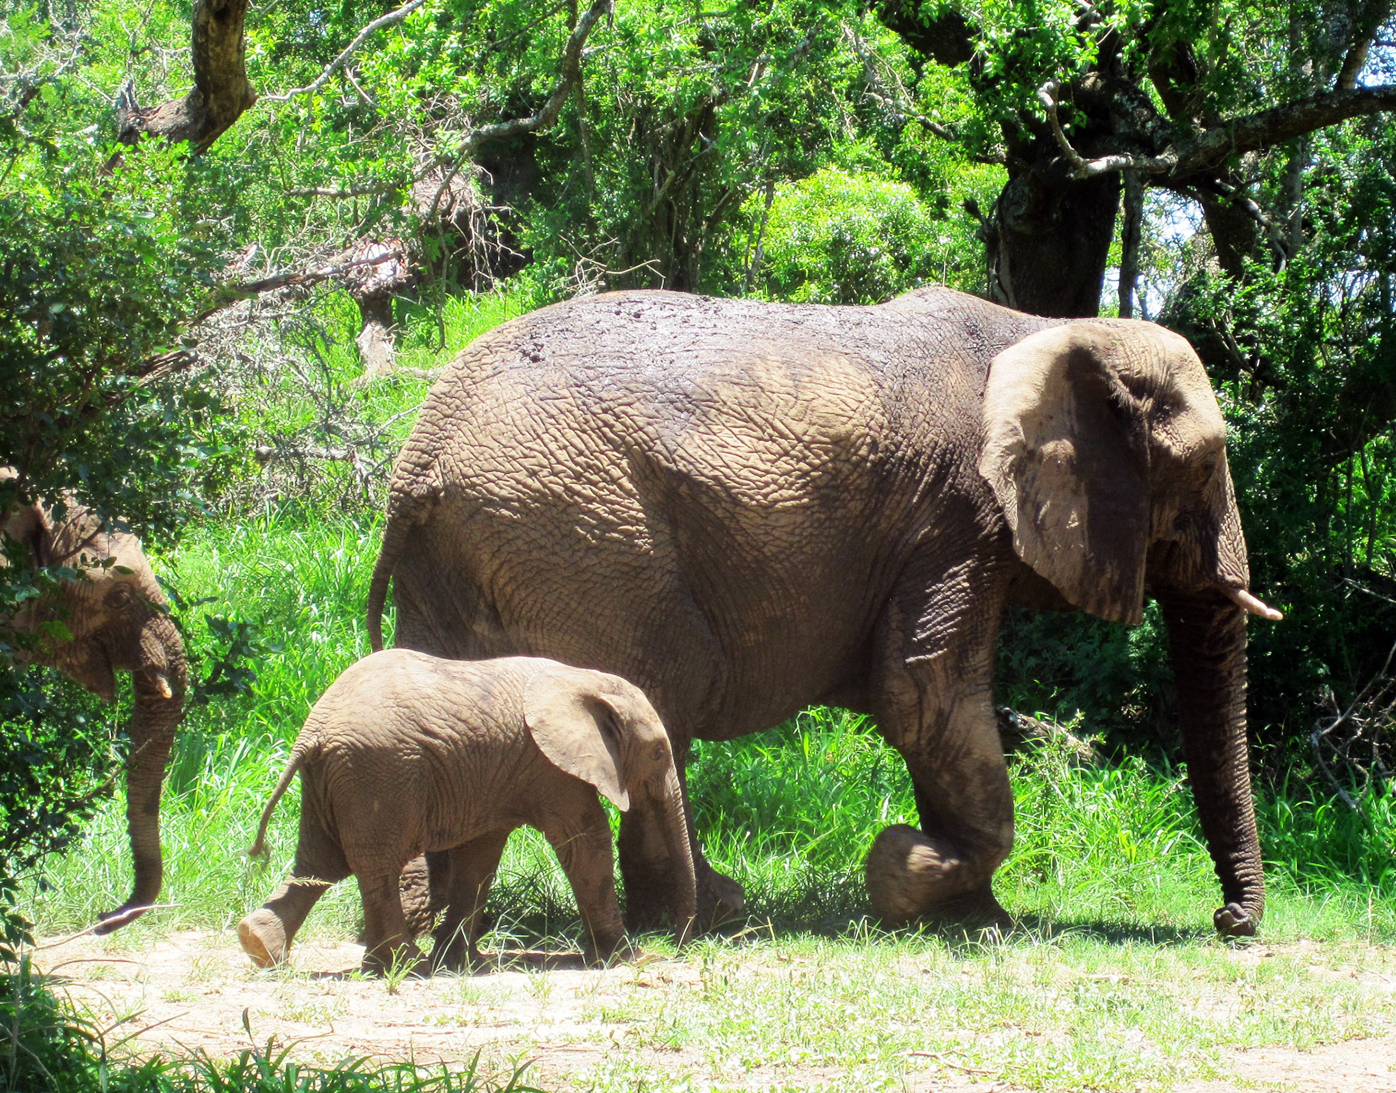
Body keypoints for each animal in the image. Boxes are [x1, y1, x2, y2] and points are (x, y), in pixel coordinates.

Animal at [241, 650, 703, 977]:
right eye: (657, 752)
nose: (679, 945)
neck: (583, 678)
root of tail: (312, 733)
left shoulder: (499, 775)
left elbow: (480, 857)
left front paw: (461, 964)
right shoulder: (550, 767)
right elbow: (585, 843)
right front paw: (631, 959)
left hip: (335, 779)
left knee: (318, 865)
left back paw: (262, 947)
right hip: (377, 774)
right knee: (375, 867)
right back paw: (406, 966)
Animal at [365, 286, 1278, 938]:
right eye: (1205, 466)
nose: (1229, 919)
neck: (1050, 327)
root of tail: (415, 463)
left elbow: (927, 707)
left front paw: (975, 917)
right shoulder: (958, 519)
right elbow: (924, 696)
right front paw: (906, 872)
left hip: (475, 551)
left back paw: (440, 925)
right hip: (582, 533)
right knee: (666, 686)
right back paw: (703, 914)